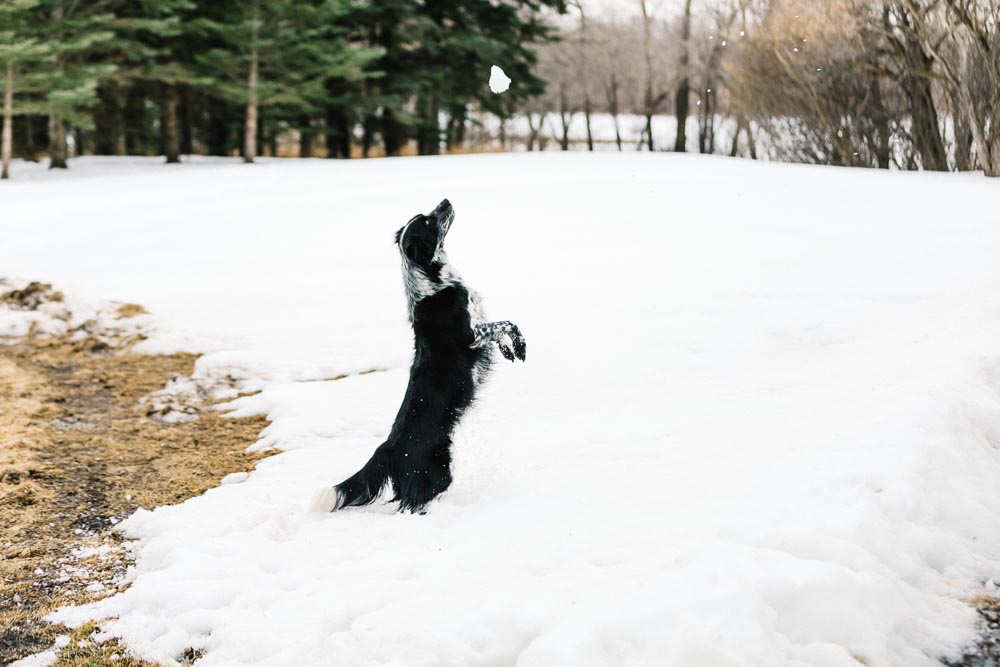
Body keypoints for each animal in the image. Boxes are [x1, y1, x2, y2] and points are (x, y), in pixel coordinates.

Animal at [312, 196, 528, 516]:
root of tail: (387, 449)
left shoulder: (480, 329)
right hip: (437, 472)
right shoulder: (473, 335)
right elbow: (507, 323)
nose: (446, 200)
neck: (431, 281)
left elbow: (500, 328)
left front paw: (509, 351)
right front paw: (520, 346)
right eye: (427, 221)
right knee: (419, 501)